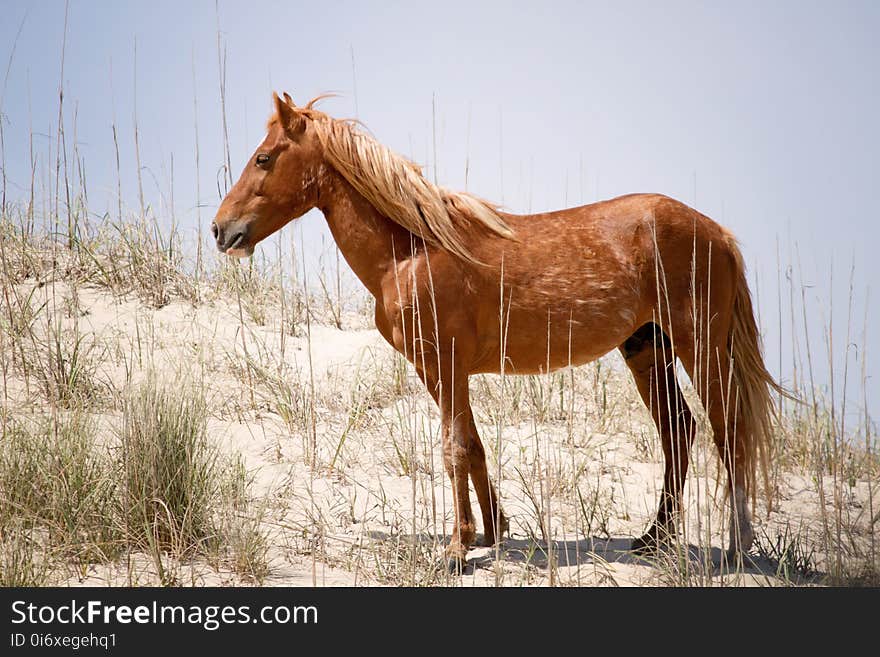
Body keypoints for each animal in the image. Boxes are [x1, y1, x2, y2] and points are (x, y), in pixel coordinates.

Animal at [211, 92, 784, 568]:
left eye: (264, 158)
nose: (221, 230)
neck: (412, 251)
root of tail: (718, 233)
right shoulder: (442, 371)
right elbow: (473, 445)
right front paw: (491, 532)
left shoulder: (446, 365)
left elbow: (454, 450)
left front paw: (457, 547)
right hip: (647, 349)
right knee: (678, 430)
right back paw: (654, 538)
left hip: (699, 348)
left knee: (727, 430)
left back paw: (737, 546)